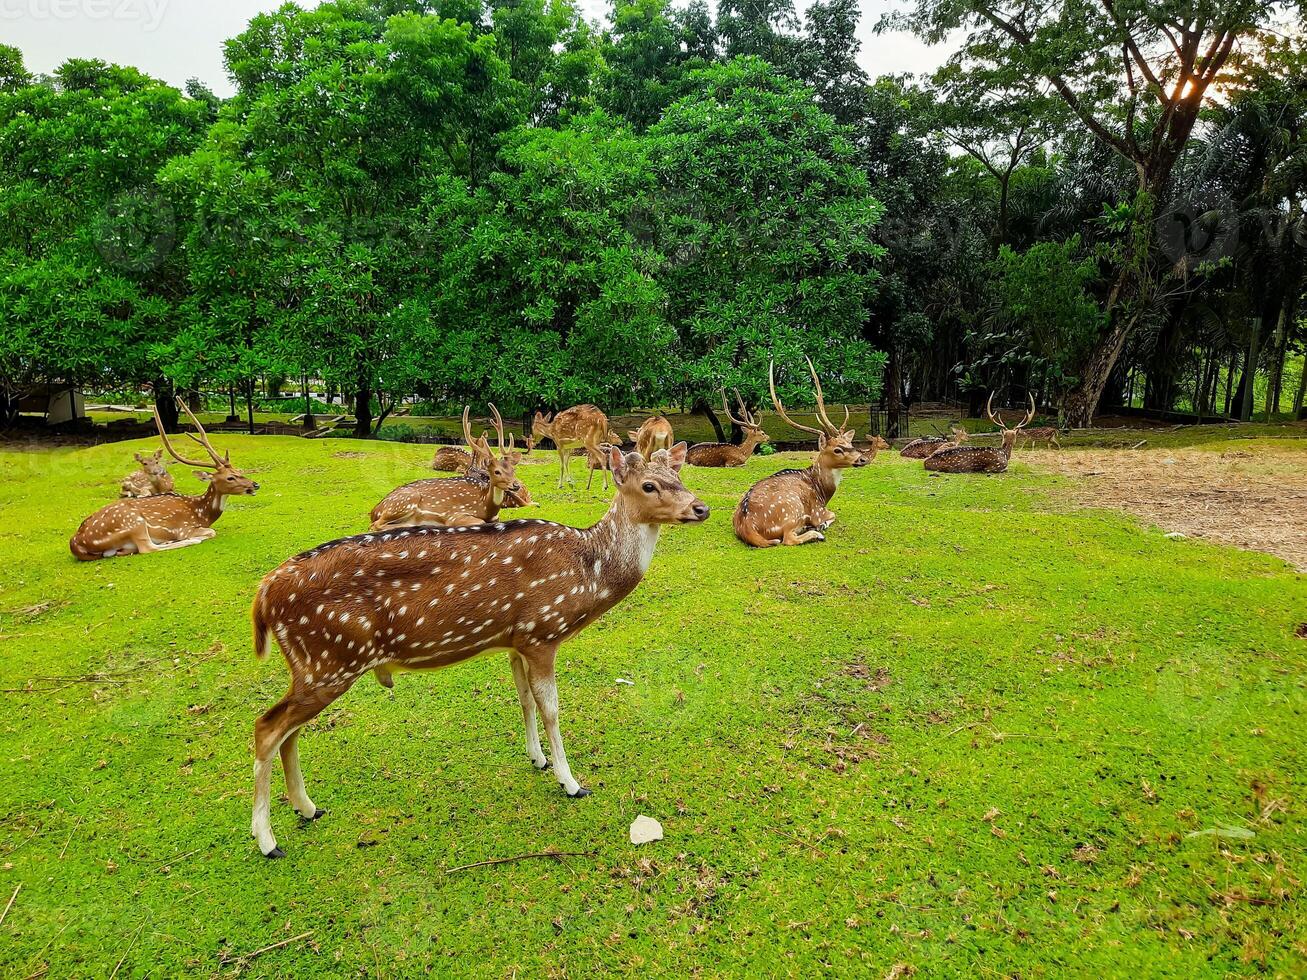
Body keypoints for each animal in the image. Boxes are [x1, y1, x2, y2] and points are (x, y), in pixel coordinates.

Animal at [69, 402, 260, 564]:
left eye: (239, 471)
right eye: (230, 477)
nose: (255, 485)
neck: (202, 513)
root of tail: (76, 543)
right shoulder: (184, 527)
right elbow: (212, 532)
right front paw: (194, 537)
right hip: (133, 522)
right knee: (147, 548)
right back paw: (189, 541)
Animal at [249, 441, 711, 857]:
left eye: (680, 477)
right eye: (650, 485)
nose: (701, 508)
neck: (589, 574)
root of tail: (264, 595)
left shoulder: (516, 640)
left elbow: (523, 699)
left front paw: (537, 759)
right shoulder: (543, 632)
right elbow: (551, 709)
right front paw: (571, 782)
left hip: (316, 665)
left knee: (288, 731)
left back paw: (308, 808)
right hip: (330, 658)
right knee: (266, 727)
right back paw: (268, 841)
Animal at [368, 405, 525, 533]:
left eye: (513, 470)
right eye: (496, 471)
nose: (516, 485)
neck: (487, 507)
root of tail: (375, 510)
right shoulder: (455, 516)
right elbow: (479, 522)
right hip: (405, 501)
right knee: (375, 525)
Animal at [731, 360, 883, 548]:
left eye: (850, 444)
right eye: (837, 449)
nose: (863, 459)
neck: (822, 491)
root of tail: (748, 526)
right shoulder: (818, 510)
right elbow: (833, 515)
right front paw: (822, 525)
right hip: (792, 507)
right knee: (787, 539)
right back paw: (816, 533)